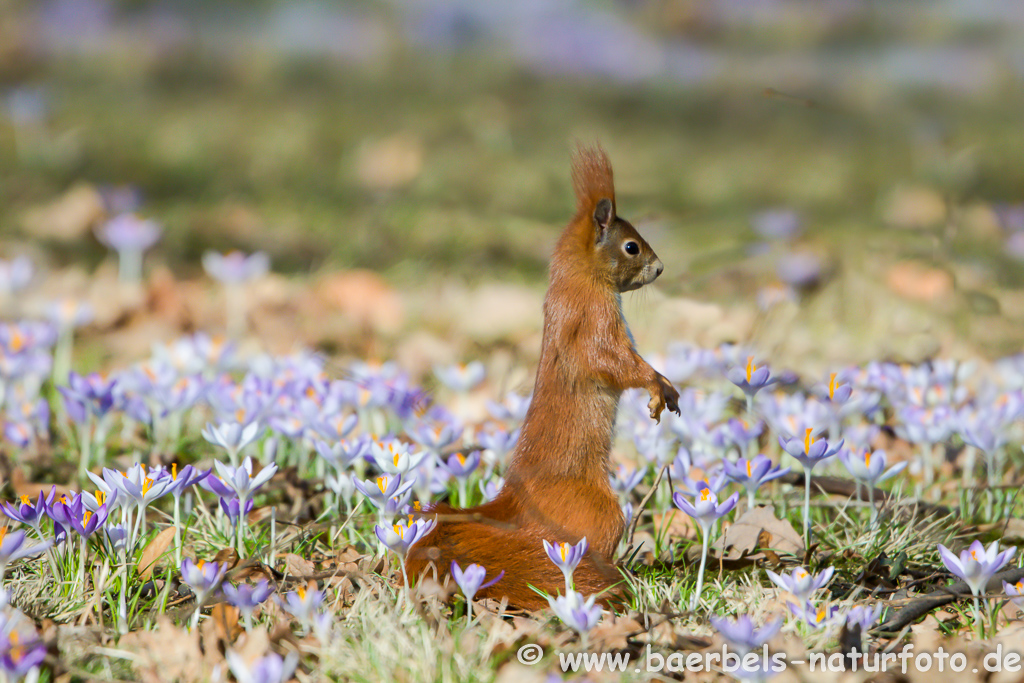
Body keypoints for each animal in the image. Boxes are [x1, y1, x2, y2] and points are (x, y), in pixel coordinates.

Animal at [405, 144, 679, 610]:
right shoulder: (592, 323)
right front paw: (658, 386)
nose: (659, 268)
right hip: (599, 513)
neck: (578, 278)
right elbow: (615, 364)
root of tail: (514, 508)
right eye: (631, 246)